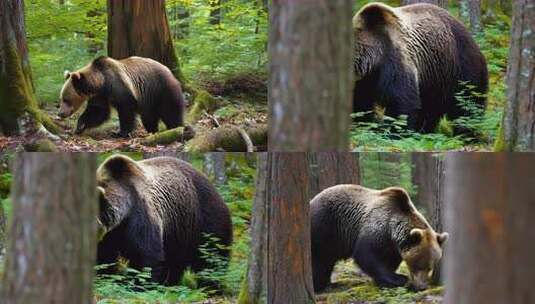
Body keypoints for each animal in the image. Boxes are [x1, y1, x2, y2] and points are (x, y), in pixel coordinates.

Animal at [96, 154, 232, 284]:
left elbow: (146, 258)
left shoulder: (140, 216)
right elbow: (104, 259)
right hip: (178, 233)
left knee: (211, 258)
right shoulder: (110, 235)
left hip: (204, 221)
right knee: (176, 263)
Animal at [310, 184, 448, 294]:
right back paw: (321, 286)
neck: (392, 232)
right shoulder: (376, 229)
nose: (422, 286)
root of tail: (312, 200)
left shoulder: (393, 248)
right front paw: (400, 279)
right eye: (418, 265)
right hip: (325, 226)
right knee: (320, 259)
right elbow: (366, 255)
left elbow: (388, 262)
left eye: (430, 267)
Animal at [354, 2, 488, 133]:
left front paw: (394, 131)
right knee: (432, 109)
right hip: (434, 79)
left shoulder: (395, 61)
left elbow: (402, 103)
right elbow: (361, 105)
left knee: (467, 105)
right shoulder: (366, 80)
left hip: (460, 67)